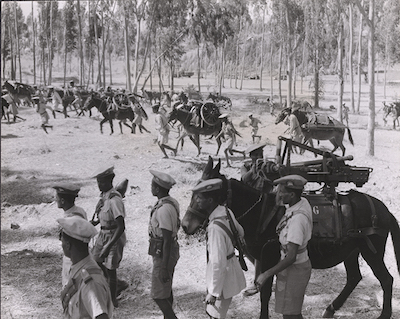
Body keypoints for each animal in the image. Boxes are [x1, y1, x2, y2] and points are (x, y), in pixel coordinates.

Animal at [183, 158, 400, 319]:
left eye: (204, 196)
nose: (185, 225)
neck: (262, 212)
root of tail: (384, 209)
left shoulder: (269, 258)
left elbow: (265, 292)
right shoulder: (262, 259)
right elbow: (262, 288)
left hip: (371, 251)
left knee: (386, 279)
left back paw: (384, 314)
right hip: (351, 251)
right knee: (354, 277)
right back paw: (330, 309)